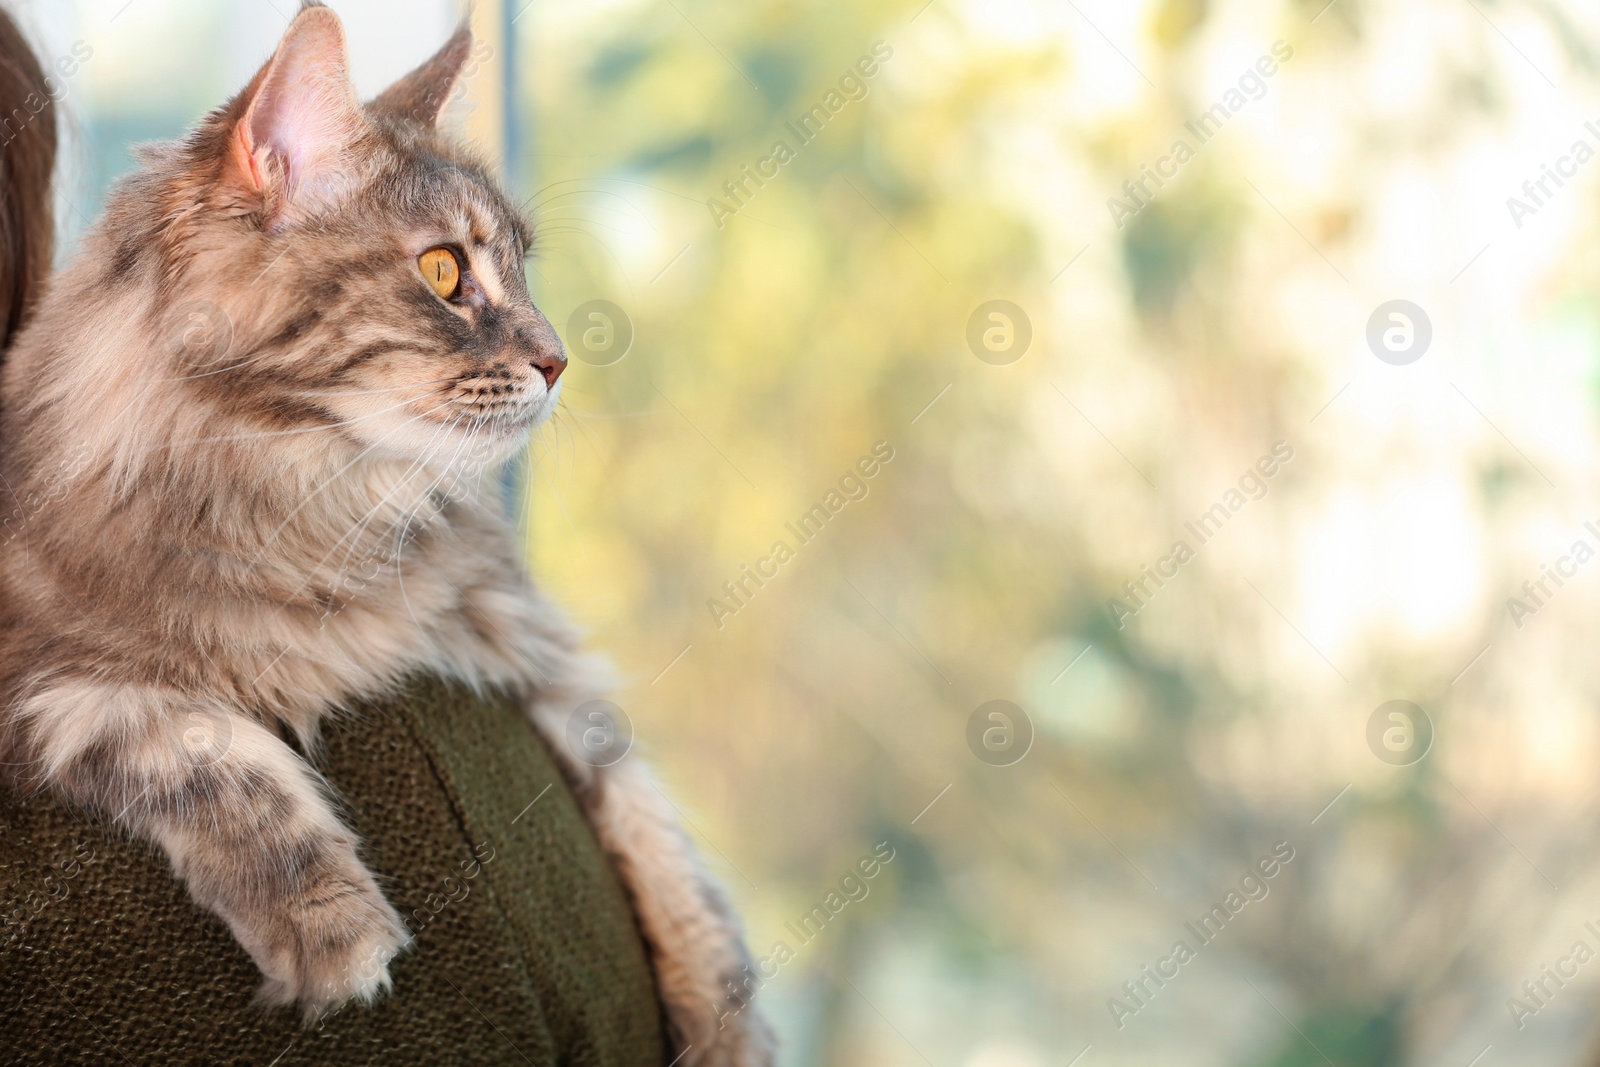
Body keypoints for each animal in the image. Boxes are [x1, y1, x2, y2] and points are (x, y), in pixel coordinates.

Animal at [0, 4, 774, 1062]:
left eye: (523, 270)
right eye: (445, 271)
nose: (559, 361)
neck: (313, 502)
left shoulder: (529, 643)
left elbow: (657, 834)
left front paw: (725, 1015)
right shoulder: (44, 678)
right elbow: (192, 738)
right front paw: (330, 921)